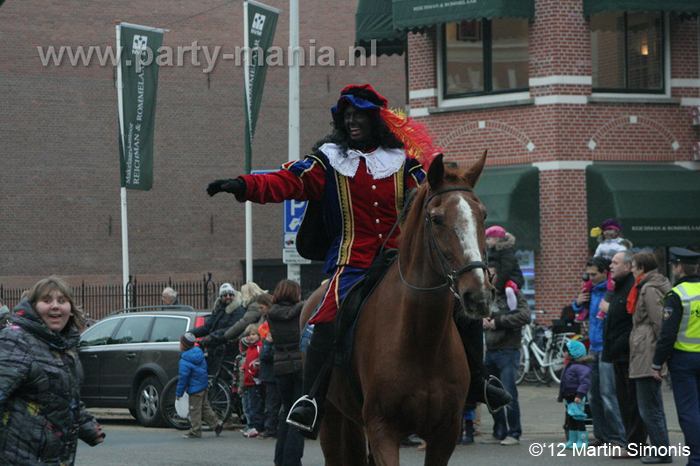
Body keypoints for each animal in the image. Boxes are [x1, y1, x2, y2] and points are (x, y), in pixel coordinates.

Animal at [300, 154, 492, 466]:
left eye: (483, 215)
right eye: (437, 218)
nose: (478, 295)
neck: (422, 340)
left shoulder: (446, 433)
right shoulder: (383, 430)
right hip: (332, 417)